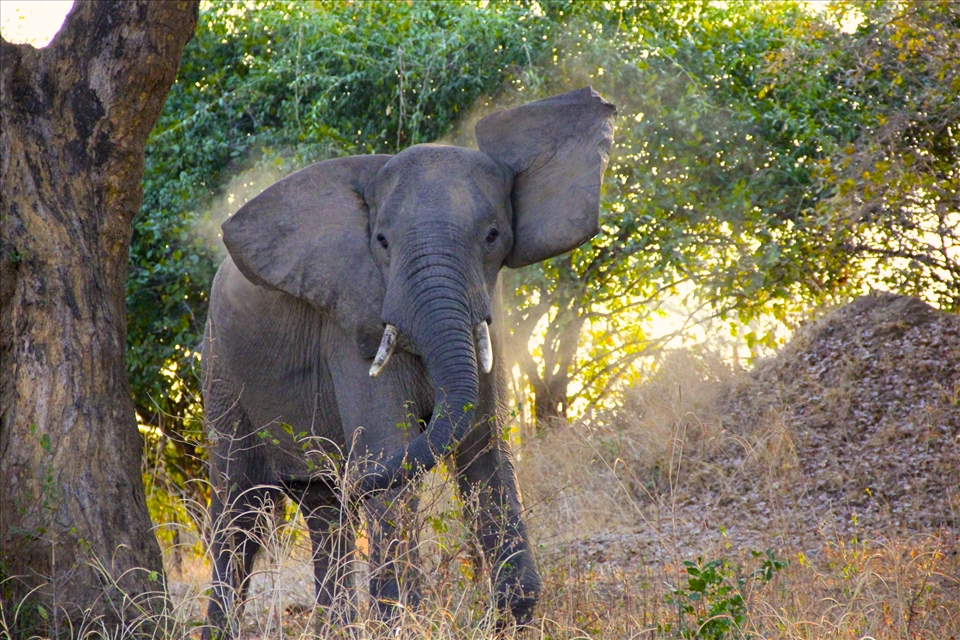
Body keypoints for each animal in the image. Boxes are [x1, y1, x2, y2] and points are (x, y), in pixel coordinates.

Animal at [201, 87, 615, 637]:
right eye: (381, 242)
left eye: (493, 235)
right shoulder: (350, 321)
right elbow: (389, 448)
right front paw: (404, 622)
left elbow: (486, 451)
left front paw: (512, 613)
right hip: (221, 369)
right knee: (242, 506)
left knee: (324, 508)